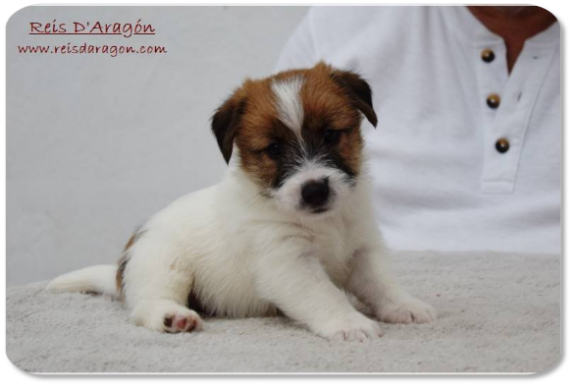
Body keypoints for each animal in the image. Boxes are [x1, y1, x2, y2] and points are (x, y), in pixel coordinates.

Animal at [48, 62, 432, 342]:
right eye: (273, 149)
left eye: (330, 135)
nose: (314, 190)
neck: (324, 223)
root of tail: (119, 269)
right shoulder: (288, 264)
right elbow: (325, 295)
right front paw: (349, 323)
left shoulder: (362, 250)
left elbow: (381, 283)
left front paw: (404, 306)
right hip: (163, 264)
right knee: (147, 305)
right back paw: (174, 317)